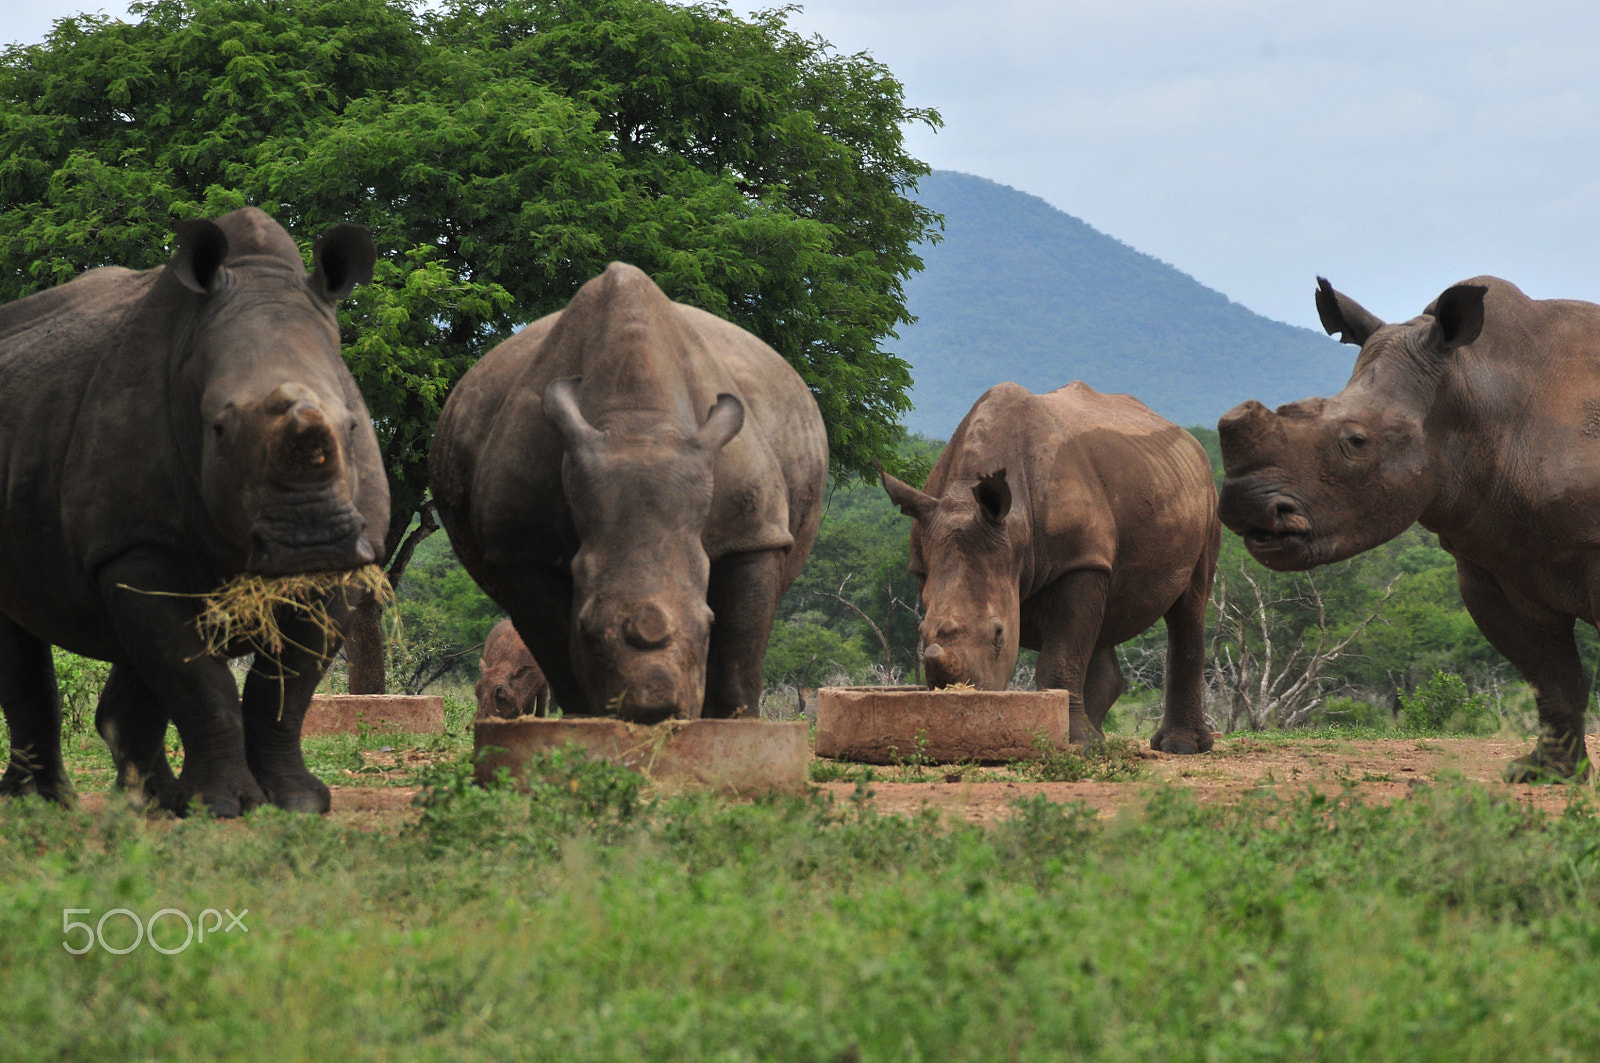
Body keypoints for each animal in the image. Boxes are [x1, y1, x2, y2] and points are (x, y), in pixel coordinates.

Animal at [0, 208, 386, 815]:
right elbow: (199, 681)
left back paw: (151, 801)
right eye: (219, 430)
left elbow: (286, 688)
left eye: (351, 425)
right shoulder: (135, 543)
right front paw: (221, 807)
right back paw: (41, 805)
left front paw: (299, 803)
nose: (312, 541)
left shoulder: (352, 555)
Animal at [431, 262, 827, 722]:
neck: (638, 422)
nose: (654, 709)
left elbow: (739, 654)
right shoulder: (518, 547)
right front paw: (589, 721)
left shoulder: (753, 530)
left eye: (707, 623)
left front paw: (736, 726)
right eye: (586, 627)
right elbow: (558, 651)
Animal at [880, 382, 1221, 753]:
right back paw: (1099, 740)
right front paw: (1080, 741)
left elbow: (1061, 657)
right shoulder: (925, 564)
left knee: (1189, 604)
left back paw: (1179, 746)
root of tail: (1191, 442)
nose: (959, 695)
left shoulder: (1076, 562)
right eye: (921, 632)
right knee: (1103, 616)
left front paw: (1073, 743)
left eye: (999, 634)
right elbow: (1076, 642)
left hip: (1206, 496)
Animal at [1217, 275, 1600, 781]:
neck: (1480, 394)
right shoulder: (1491, 558)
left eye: (1356, 442)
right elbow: (1551, 678)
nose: (1248, 505)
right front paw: (1545, 773)